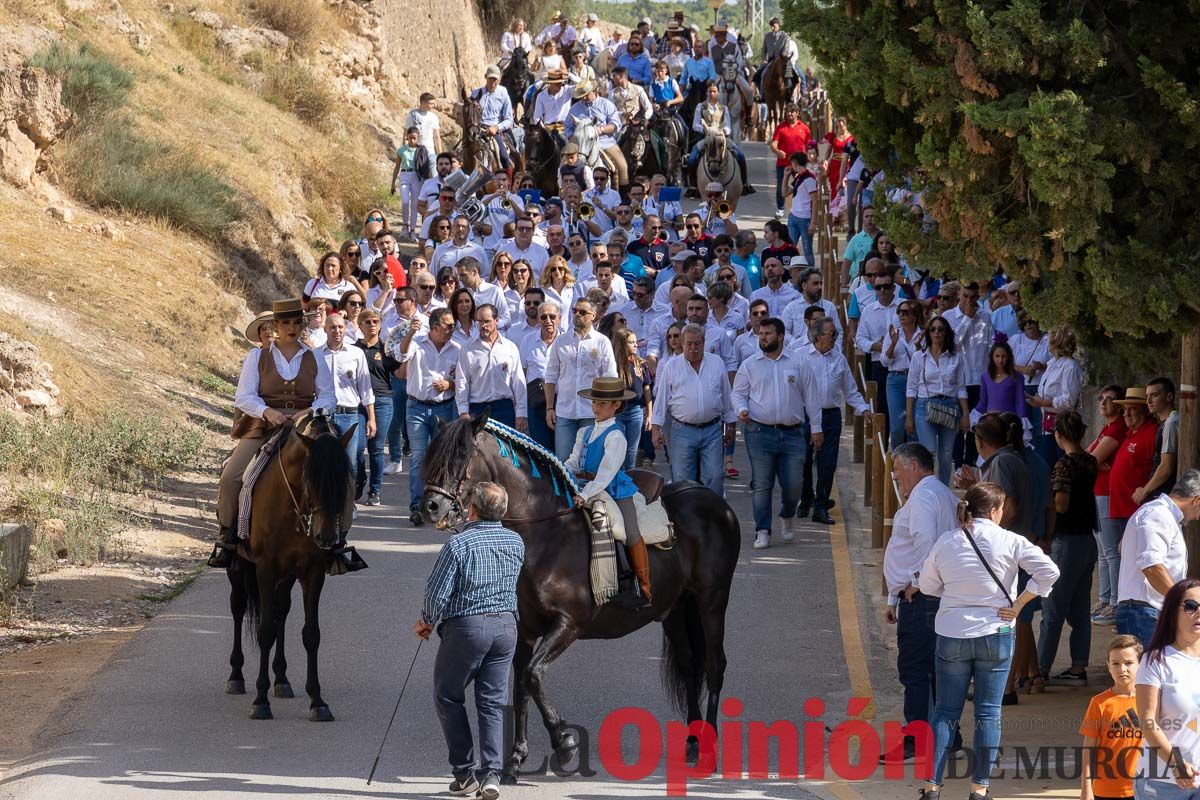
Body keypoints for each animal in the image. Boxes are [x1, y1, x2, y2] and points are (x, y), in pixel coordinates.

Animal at [225, 410, 355, 724]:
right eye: (310, 479)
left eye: (345, 481)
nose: (326, 537)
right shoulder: (265, 569)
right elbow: (264, 631)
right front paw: (260, 701)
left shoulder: (313, 572)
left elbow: (311, 633)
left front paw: (318, 702)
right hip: (239, 569)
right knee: (238, 608)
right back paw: (236, 676)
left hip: (287, 575)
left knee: (281, 612)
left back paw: (282, 680)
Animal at [422, 417, 739, 777]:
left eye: (461, 455)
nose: (430, 507)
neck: (546, 533)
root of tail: (715, 501)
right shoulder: (526, 629)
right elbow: (521, 685)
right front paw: (517, 757)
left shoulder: (569, 622)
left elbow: (532, 675)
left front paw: (564, 743)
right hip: (674, 608)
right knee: (689, 666)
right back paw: (693, 742)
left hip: (712, 601)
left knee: (714, 665)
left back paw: (709, 748)